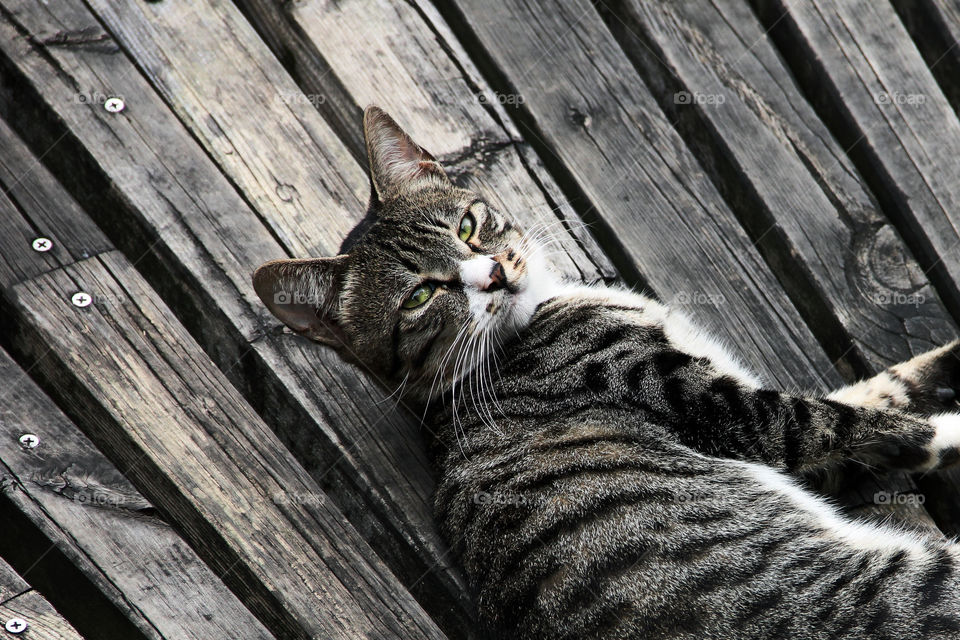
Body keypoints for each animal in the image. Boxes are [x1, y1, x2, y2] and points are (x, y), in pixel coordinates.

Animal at [253, 106, 960, 640]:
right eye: (421, 296)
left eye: (469, 225)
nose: (494, 273)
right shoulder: (725, 410)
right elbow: (856, 419)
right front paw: (944, 426)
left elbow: (884, 390)